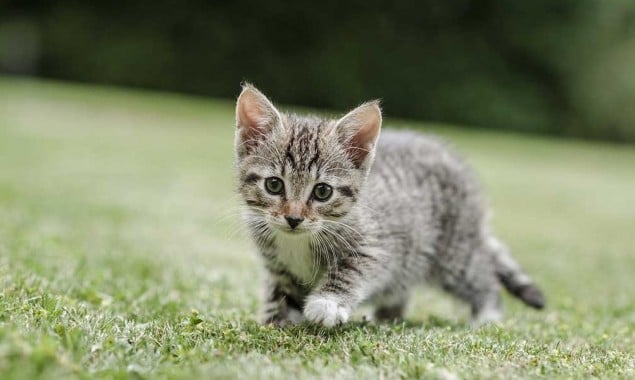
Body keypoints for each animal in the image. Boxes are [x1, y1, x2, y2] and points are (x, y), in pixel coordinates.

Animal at [236, 84, 544, 328]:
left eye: (322, 191)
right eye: (274, 185)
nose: (293, 218)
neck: (298, 241)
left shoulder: (376, 246)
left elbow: (352, 271)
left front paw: (327, 303)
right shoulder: (278, 267)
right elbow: (280, 294)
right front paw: (276, 322)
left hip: (453, 251)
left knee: (481, 275)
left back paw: (487, 315)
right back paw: (387, 317)